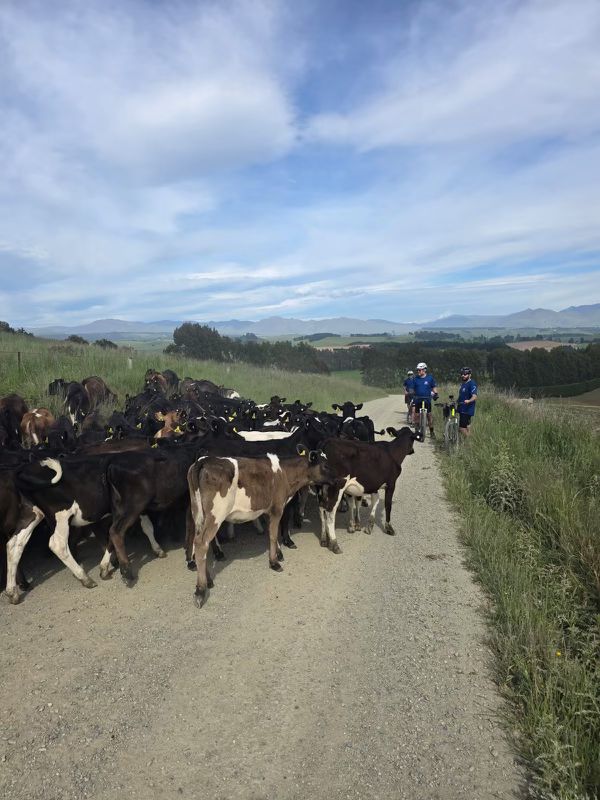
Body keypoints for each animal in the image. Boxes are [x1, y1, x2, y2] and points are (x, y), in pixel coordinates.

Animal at [185, 450, 336, 608]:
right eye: (325, 465)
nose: (338, 479)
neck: (285, 472)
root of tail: (204, 460)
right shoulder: (277, 508)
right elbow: (274, 535)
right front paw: (274, 562)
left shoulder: (267, 511)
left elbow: (270, 533)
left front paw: (278, 554)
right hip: (216, 515)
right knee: (201, 543)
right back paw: (200, 590)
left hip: (198, 514)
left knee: (198, 542)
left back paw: (208, 580)